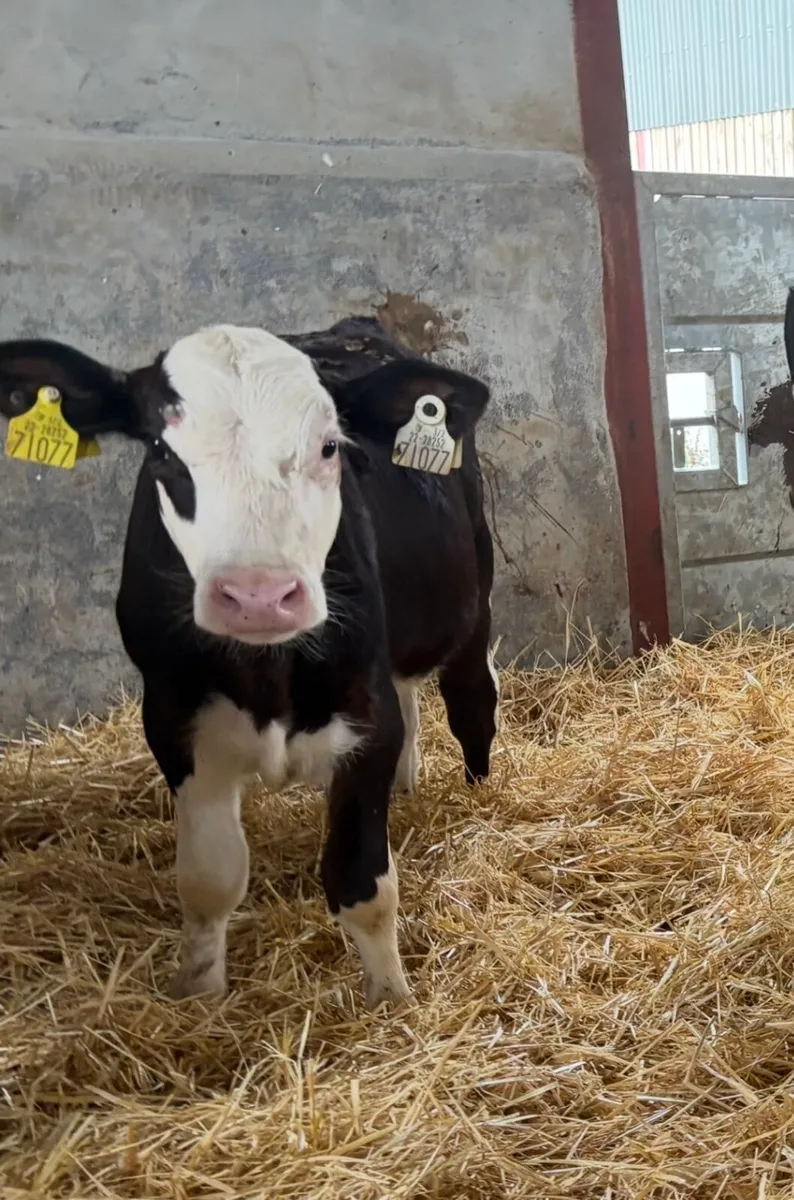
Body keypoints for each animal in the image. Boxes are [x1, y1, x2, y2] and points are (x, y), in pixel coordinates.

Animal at [0, 316, 499, 1009]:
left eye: (329, 447)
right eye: (161, 452)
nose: (258, 594)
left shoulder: (365, 716)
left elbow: (361, 884)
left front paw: (390, 1000)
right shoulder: (173, 719)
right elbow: (209, 879)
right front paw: (200, 996)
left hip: (473, 592)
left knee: (471, 701)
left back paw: (478, 788)